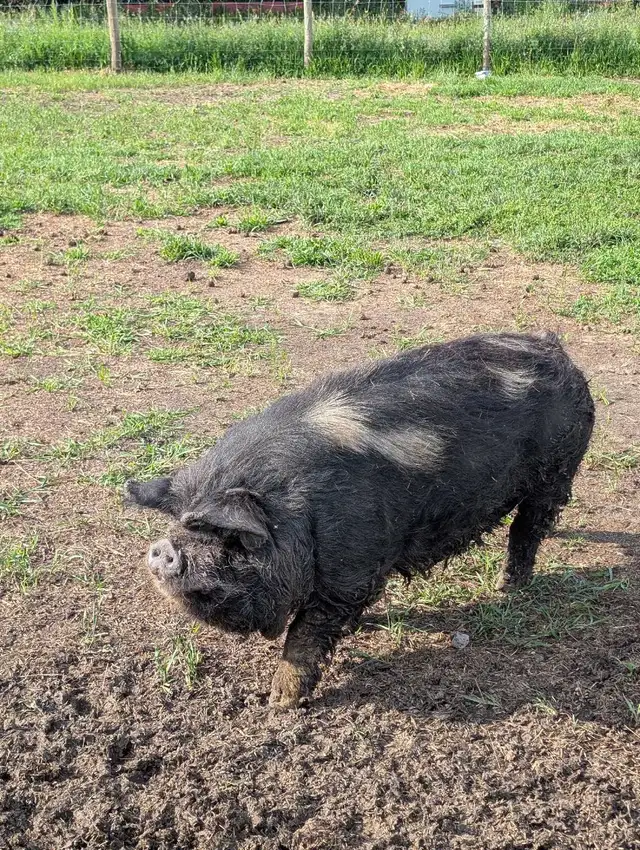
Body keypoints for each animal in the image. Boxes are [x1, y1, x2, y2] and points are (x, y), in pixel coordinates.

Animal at [124, 332, 594, 709]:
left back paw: (508, 588)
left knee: (529, 528)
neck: (297, 514)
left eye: (230, 537)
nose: (162, 548)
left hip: (559, 468)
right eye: (180, 521)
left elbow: (307, 633)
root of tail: (557, 350)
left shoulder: (350, 563)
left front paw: (280, 703)